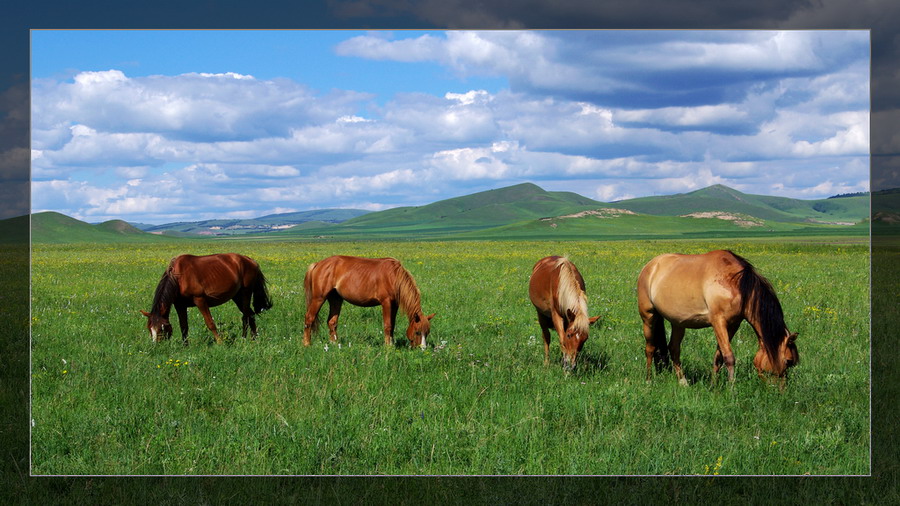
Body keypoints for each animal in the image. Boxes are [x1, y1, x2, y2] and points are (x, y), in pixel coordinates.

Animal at [141, 253, 272, 344]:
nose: (157, 345)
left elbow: (210, 323)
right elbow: (183, 326)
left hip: (246, 293)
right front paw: (185, 346)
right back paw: (254, 338)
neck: (179, 278)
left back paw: (244, 338)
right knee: (251, 315)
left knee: (245, 316)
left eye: (162, 328)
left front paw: (220, 343)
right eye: (149, 328)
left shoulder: (200, 300)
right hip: (237, 296)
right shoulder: (180, 305)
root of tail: (250, 260)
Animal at [302, 256, 436, 348]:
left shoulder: (395, 304)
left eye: (427, 332)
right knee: (309, 318)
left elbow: (392, 325)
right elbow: (388, 325)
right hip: (319, 298)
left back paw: (334, 343)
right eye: (417, 332)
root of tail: (318, 264)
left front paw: (391, 343)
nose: (422, 349)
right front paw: (388, 347)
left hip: (336, 299)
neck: (394, 277)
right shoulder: (386, 302)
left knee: (332, 322)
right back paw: (307, 344)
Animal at [636, 249, 800, 384]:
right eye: (788, 361)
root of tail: (651, 266)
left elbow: (718, 356)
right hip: (648, 317)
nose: (781, 391)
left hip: (678, 323)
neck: (736, 283)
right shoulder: (718, 322)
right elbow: (729, 357)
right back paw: (649, 381)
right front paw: (731, 388)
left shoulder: (733, 324)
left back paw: (683, 382)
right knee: (650, 348)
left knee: (674, 348)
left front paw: (714, 386)